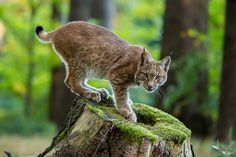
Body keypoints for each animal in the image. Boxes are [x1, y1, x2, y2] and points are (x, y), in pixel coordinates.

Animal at [35, 21, 171, 121]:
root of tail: (59, 29)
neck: (137, 70)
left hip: (87, 66)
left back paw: (99, 91)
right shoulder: (117, 76)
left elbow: (124, 95)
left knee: (80, 81)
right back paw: (90, 93)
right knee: (70, 81)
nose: (150, 86)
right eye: (146, 74)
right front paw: (126, 111)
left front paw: (128, 103)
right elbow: (121, 95)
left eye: (157, 77)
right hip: (79, 61)